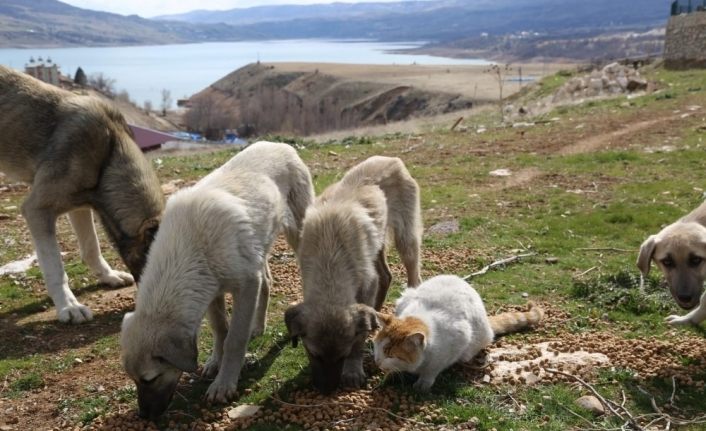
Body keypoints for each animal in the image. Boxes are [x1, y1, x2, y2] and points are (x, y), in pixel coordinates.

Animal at [0, 66, 162, 324]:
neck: (109, 153)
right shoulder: (37, 211)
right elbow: (56, 268)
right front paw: (69, 306)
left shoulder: (79, 206)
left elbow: (91, 247)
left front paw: (108, 276)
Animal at [119, 143, 312, 420]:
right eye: (133, 379)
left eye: (150, 379)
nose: (144, 416)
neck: (187, 249)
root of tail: (281, 145)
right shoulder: (211, 291)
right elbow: (221, 329)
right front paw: (214, 362)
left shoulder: (245, 286)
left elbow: (235, 339)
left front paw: (224, 382)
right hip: (259, 246)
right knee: (266, 281)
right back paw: (258, 326)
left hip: (297, 231)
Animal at [284, 156, 420, 394]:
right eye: (313, 354)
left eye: (343, 356)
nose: (327, 391)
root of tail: (392, 159)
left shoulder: (366, 283)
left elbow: (358, 338)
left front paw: (353, 371)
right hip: (376, 246)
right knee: (386, 277)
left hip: (405, 238)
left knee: (413, 275)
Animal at [372, 276, 540, 394]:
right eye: (377, 347)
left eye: (391, 355)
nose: (377, 361)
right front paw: (390, 375)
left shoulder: (458, 340)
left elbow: (432, 370)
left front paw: (423, 383)